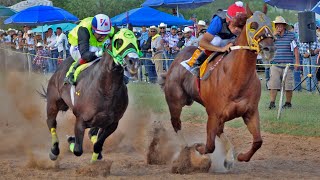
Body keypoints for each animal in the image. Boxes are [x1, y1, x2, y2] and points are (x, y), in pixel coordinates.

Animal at [39, 28, 140, 162]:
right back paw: (54, 151)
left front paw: (96, 158)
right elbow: (77, 150)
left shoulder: (112, 123)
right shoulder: (80, 120)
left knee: (92, 133)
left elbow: (97, 144)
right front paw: (71, 140)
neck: (106, 89)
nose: (133, 62)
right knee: (51, 122)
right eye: (118, 42)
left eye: (136, 41)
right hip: (53, 102)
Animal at [159, 4, 276, 162]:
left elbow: (258, 141)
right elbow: (209, 146)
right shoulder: (213, 115)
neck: (236, 79)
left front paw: (242, 156)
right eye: (253, 25)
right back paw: (185, 148)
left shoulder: (250, 112)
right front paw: (197, 148)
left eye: (271, 24)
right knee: (176, 123)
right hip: (175, 101)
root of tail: (176, 60)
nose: (269, 49)